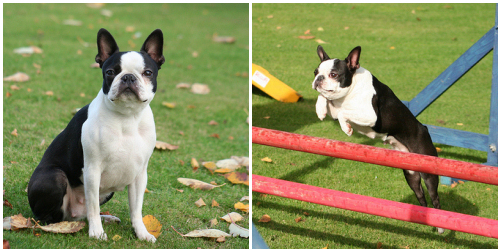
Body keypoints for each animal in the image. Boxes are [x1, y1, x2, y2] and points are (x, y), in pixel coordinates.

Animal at [27, 27, 164, 242]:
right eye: (110, 72)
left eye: (148, 73)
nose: (128, 77)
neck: (127, 117)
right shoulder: (92, 169)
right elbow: (92, 205)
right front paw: (97, 232)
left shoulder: (140, 174)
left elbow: (136, 209)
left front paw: (141, 233)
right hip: (54, 178)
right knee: (53, 215)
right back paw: (61, 225)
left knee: (85, 213)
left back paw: (105, 218)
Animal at [312, 45, 446, 234]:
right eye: (316, 72)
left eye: (334, 74)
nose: (318, 79)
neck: (351, 88)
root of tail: (424, 129)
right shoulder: (335, 107)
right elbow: (325, 98)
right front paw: (320, 109)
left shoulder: (370, 116)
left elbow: (344, 112)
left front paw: (346, 128)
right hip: (410, 174)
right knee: (421, 196)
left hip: (428, 172)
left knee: (435, 198)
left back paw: (440, 227)